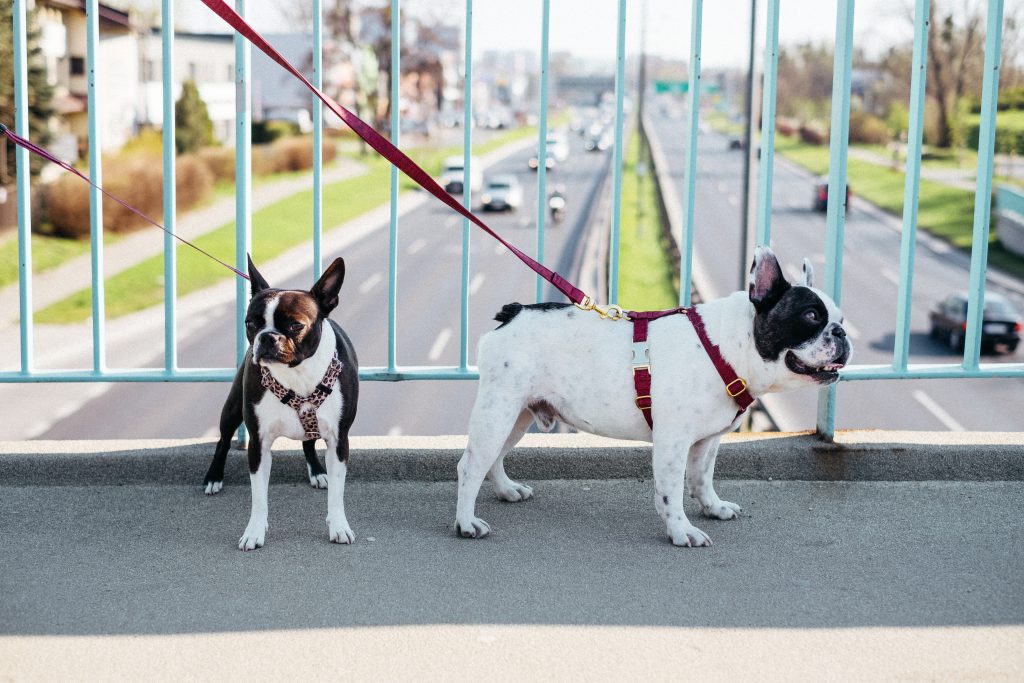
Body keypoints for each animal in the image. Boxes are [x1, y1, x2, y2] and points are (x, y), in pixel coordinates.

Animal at [201, 255, 358, 548]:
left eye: (296, 325)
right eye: (250, 324)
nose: (267, 337)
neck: (298, 374)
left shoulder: (339, 440)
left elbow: (337, 493)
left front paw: (339, 526)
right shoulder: (258, 443)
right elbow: (259, 497)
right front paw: (254, 532)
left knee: (308, 443)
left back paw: (317, 472)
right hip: (232, 410)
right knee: (222, 442)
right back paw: (213, 478)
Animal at [454, 248, 847, 548]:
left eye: (841, 318)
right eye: (811, 316)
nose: (842, 332)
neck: (728, 346)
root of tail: (513, 313)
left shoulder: (707, 441)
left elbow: (702, 478)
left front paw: (713, 507)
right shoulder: (673, 442)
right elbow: (671, 491)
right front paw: (681, 531)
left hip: (517, 415)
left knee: (494, 457)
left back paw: (507, 490)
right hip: (499, 411)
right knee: (471, 465)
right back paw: (466, 522)